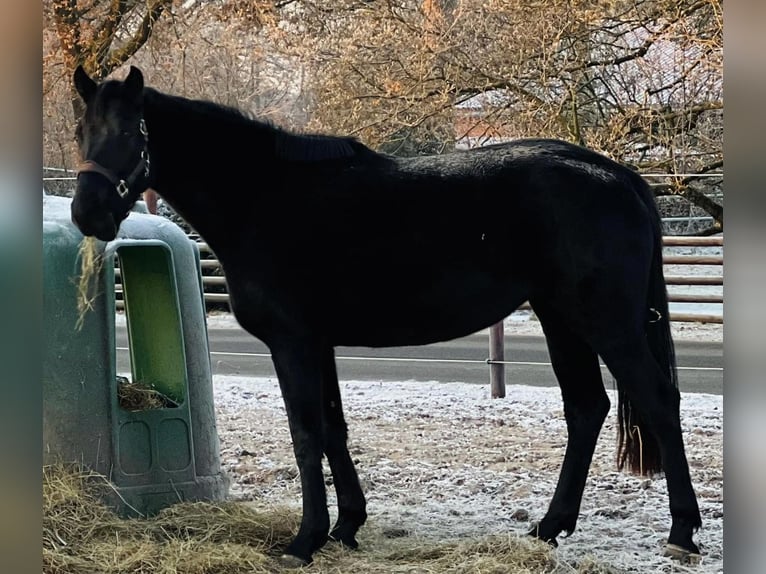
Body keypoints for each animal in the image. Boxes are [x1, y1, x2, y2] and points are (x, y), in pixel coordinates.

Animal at [70, 65, 704, 564]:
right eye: (81, 132)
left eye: (128, 132)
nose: (87, 213)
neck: (264, 197)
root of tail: (618, 175)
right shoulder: (318, 343)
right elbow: (333, 428)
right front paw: (346, 525)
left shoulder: (292, 343)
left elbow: (306, 433)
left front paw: (304, 540)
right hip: (561, 318)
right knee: (587, 408)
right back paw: (550, 528)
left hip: (605, 322)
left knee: (656, 397)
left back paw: (681, 532)